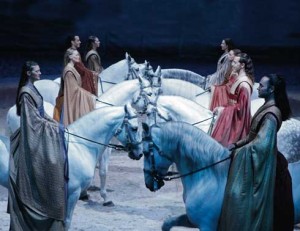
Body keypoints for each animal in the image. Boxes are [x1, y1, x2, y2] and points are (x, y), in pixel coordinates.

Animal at [142, 122, 300, 230]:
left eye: (146, 153)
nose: (148, 183)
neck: (209, 177)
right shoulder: (194, 220)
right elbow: (167, 223)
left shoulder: (207, 225)